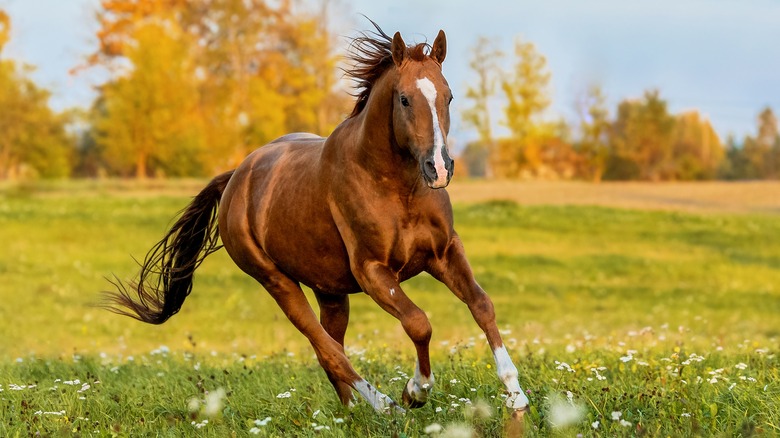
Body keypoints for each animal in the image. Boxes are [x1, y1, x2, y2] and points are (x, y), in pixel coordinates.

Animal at [105, 22, 532, 416]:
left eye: (448, 96)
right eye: (405, 99)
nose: (439, 168)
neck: (397, 188)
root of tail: (235, 178)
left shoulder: (444, 253)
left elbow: (481, 304)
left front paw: (516, 396)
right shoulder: (373, 272)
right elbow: (418, 322)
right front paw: (415, 391)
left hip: (330, 291)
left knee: (331, 347)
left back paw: (352, 410)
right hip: (277, 282)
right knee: (328, 350)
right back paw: (385, 407)